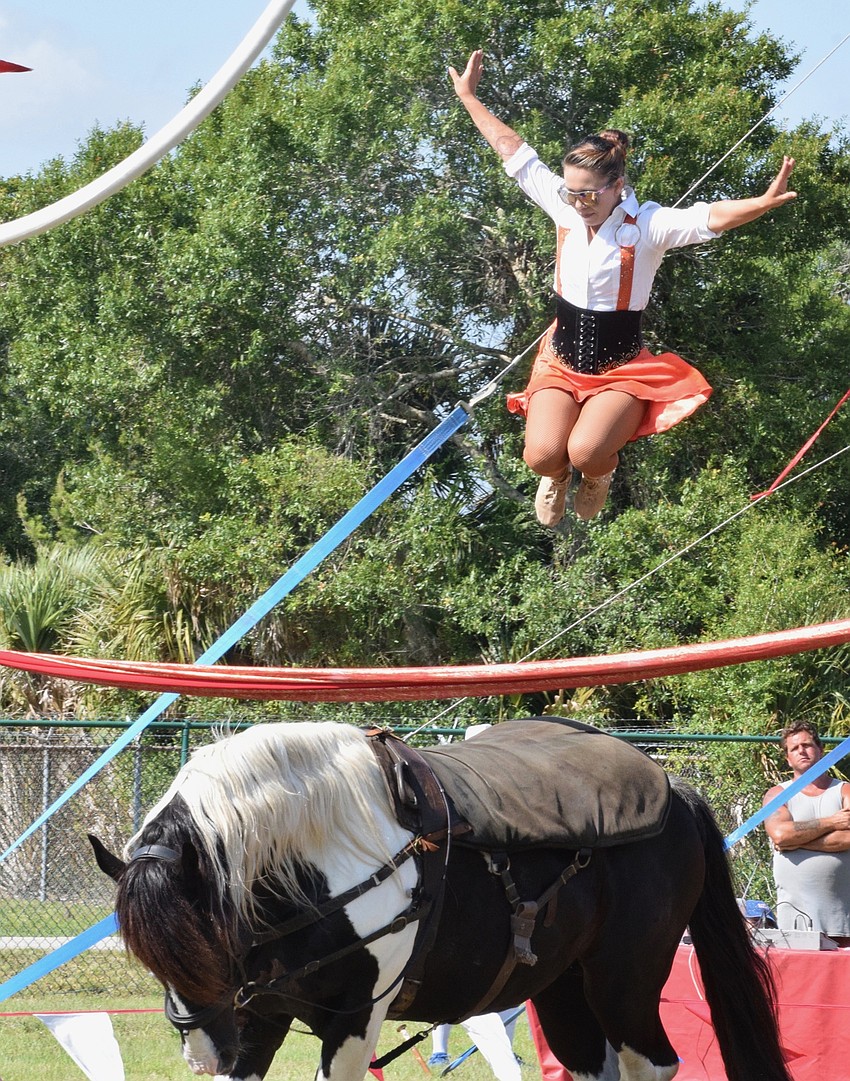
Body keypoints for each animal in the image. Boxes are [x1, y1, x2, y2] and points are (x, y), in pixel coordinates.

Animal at [89, 717, 793, 1081]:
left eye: (207, 947)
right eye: (152, 960)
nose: (200, 1056)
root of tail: (674, 789)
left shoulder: (352, 1019)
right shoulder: (260, 1017)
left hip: (625, 982)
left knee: (652, 1065)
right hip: (565, 989)